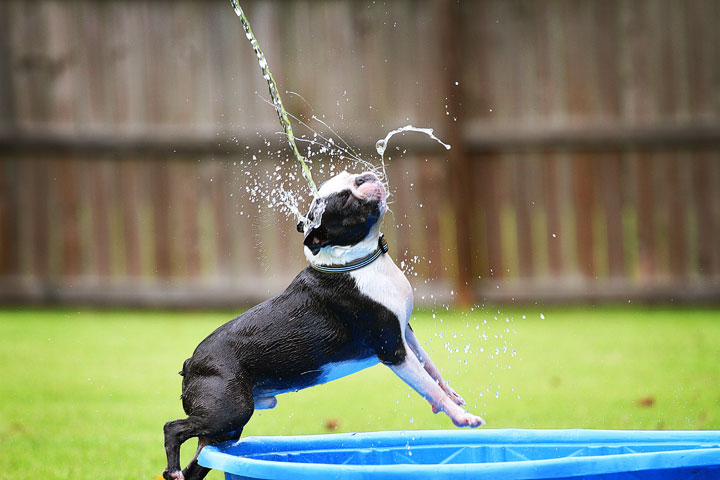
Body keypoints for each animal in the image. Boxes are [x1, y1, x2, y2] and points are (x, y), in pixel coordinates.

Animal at [162, 171, 484, 478]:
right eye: (345, 199)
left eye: (349, 176)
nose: (364, 177)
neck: (357, 262)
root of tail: (191, 363)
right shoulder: (392, 348)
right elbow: (426, 383)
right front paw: (461, 417)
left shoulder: (405, 331)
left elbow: (431, 369)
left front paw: (450, 397)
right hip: (230, 410)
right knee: (172, 429)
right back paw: (173, 468)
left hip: (225, 425)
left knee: (197, 461)